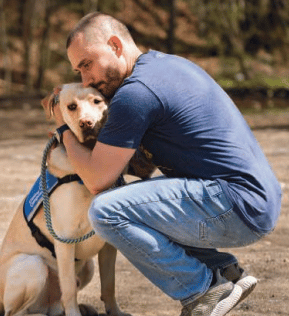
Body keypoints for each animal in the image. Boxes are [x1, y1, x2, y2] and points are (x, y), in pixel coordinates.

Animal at [0, 83, 134, 316]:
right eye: (71, 107)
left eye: (97, 101)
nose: (86, 123)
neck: (89, 161)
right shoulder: (64, 240)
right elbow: (70, 287)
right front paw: (74, 312)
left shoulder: (109, 244)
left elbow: (109, 284)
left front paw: (115, 311)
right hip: (33, 265)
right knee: (16, 312)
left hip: (87, 267)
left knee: (54, 304)